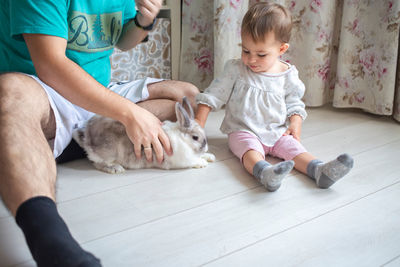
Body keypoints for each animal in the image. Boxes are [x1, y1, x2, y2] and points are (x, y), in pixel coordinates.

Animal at [72, 96, 216, 174]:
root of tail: (86, 137)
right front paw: (202, 162)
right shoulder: (183, 161)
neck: (183, 139)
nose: (206, 148)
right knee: (98, 164)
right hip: (109, 151)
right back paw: (116, 169)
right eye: (195, 137)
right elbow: (193, 161)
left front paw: (210, 157)